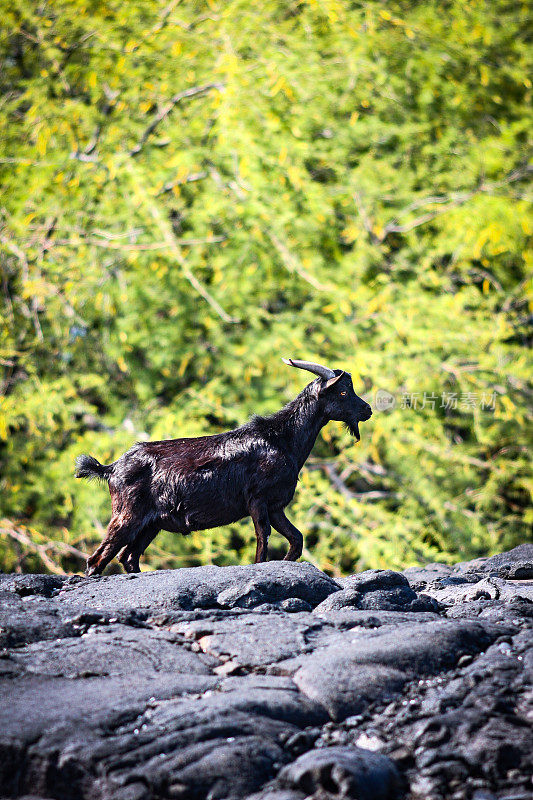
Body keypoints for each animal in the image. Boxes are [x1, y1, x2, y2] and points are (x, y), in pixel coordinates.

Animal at [76, 360, 370, 580]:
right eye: (343, 392)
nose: (367, 410)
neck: (282, 439)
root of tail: (111, 467)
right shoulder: (257, 499)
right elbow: (263, 535)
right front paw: (258, 567)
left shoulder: (276, 504)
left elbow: (296, 539)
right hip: (127, 514)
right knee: (98, 558)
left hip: (151, 524)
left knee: (128, 556)